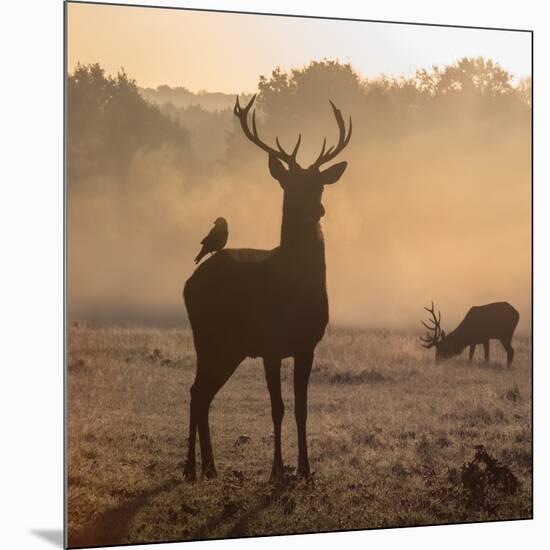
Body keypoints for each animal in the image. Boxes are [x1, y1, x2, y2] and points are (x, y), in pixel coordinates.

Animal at [183, 96, 352, 484]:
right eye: (290, 185)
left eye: (320, 184)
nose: (317, 208)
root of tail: (188, 284)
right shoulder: (271, 345)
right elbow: (277, 407)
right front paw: (277, 470)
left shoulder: (307, 344)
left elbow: (302, 408)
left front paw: (305, 469)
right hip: (208, 337)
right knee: (197, 391)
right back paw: (190, 468)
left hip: (228, 348)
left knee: (202, 392)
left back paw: (210, 467)